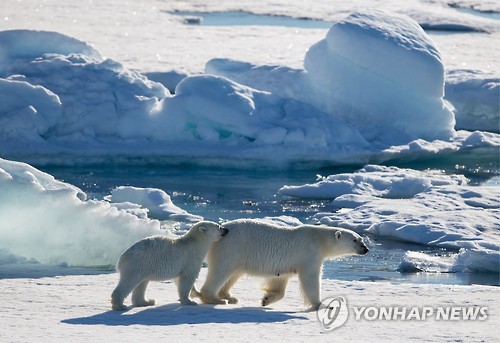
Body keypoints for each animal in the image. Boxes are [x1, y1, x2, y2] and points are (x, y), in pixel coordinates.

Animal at [198, 220, 368, 312]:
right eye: (355, 240)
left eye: (361, 239)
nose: (365, 249)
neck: (319, 240)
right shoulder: (309, 253)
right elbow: (311, 278)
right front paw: (323, 305)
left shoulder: (285, 264)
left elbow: (279, 280)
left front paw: (266, 299)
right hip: (231, 248)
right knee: (221, 271)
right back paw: (214, 298)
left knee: (233, 274)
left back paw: (229, 296)